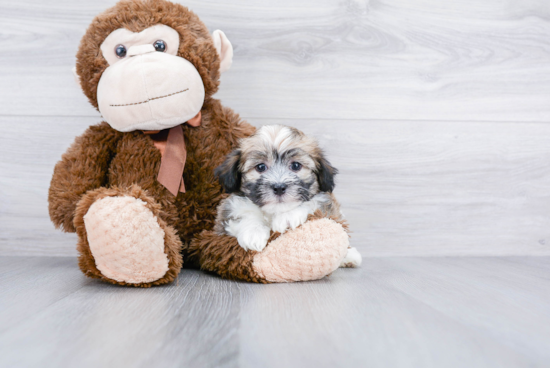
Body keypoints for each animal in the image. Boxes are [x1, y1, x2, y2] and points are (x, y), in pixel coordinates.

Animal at [215, 126, 362, 268]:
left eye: (296, 165)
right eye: (260, 167)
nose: (279, 187)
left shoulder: (326, 203)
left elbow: (312, 203)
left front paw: (287, 217)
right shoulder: (226, 214)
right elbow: (243, 212)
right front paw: (253, 233)